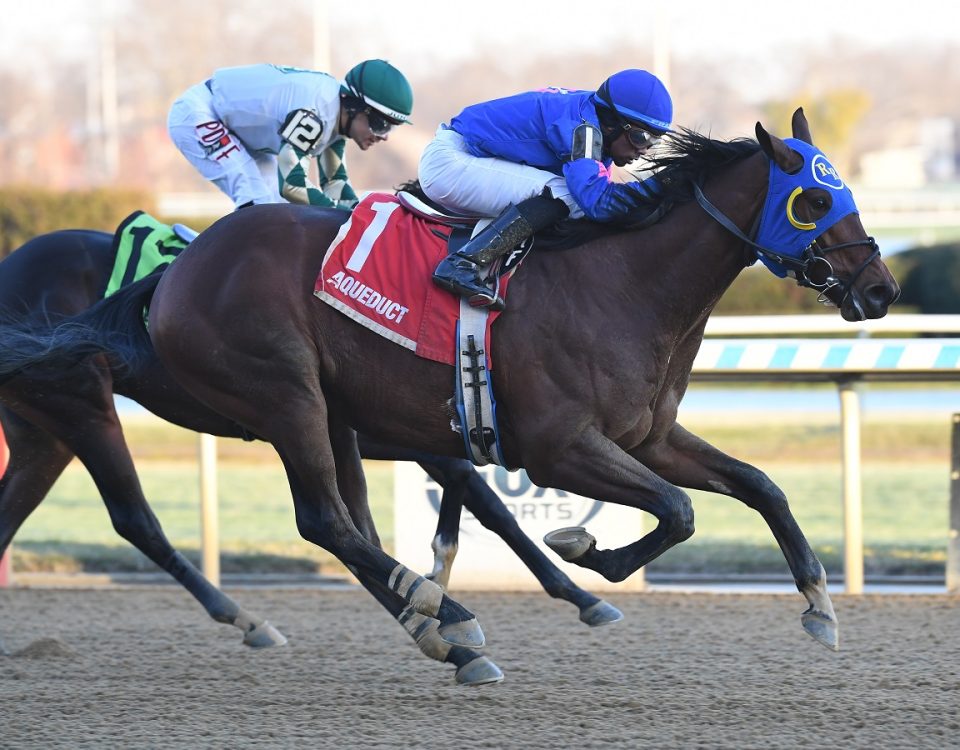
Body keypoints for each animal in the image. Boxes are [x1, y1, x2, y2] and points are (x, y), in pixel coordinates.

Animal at [0, 111, 900, 680]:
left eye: (848, 190)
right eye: (814, 198)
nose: (881, 289)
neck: (622, 282)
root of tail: (175, 273)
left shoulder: (645, 437)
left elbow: (759, 486)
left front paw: (820, 606)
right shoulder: (555, 445)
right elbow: (670, 512)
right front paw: (586, 554)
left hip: (227, 416)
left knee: (341, 526)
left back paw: (445, 635)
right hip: (266, 395)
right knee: (307, 520)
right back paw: (441, 618)